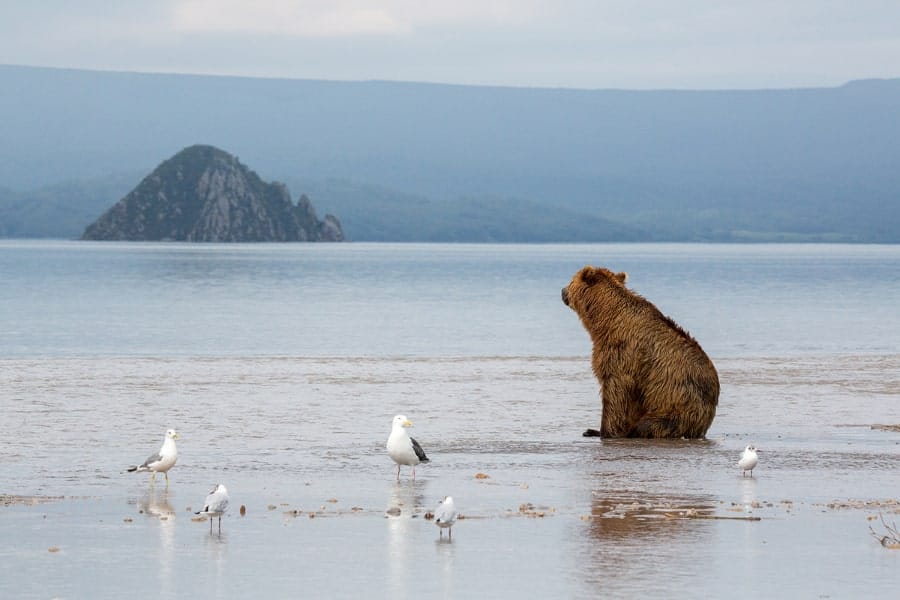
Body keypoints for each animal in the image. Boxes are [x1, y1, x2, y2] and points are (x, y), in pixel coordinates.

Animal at [564, 264, 716, 438]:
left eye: (570, 281)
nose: (562, 291)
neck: (606, 320)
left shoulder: (622, 352)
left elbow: (616, 390)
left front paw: (599, 431)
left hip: (678, 405)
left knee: (650, 424)